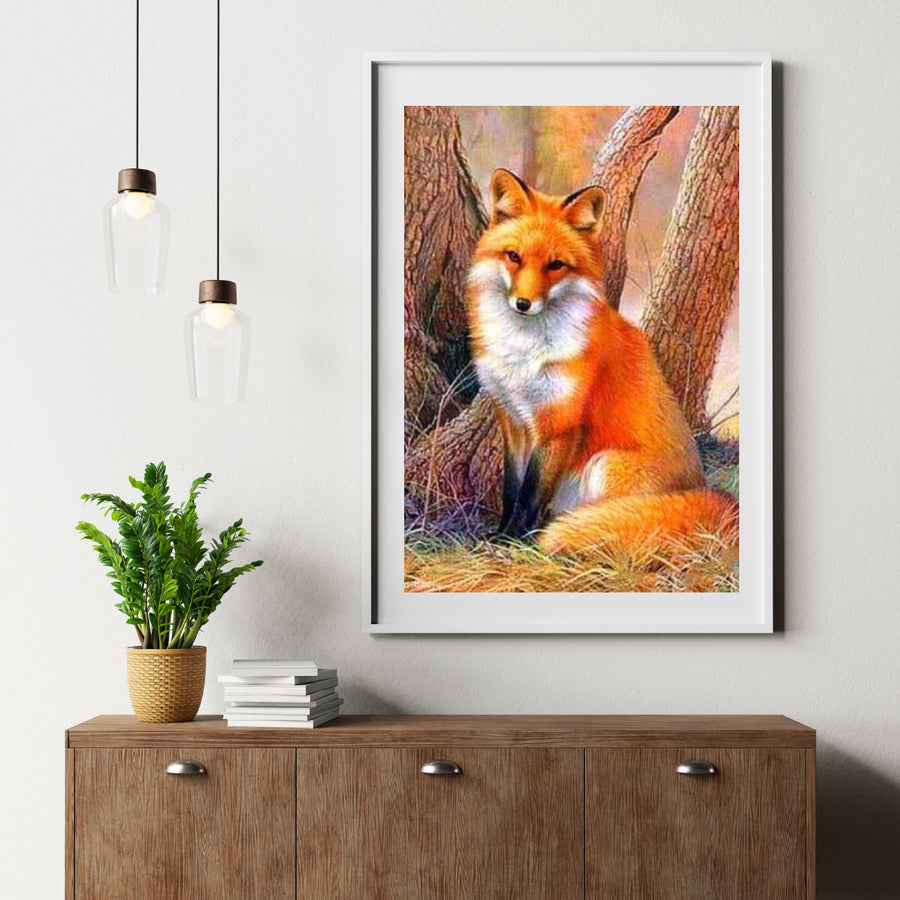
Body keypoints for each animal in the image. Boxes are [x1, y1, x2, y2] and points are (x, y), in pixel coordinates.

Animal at [466, 168, 737, 556]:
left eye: (556, 265)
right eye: (514, 256)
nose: (523, 304)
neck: (524, 351)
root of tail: (705, 490)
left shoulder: (559, 422)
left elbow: (531, 495)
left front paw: (514, 542)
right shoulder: (513, 420)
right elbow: (512, 489)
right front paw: (500, 534)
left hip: (604, 464)